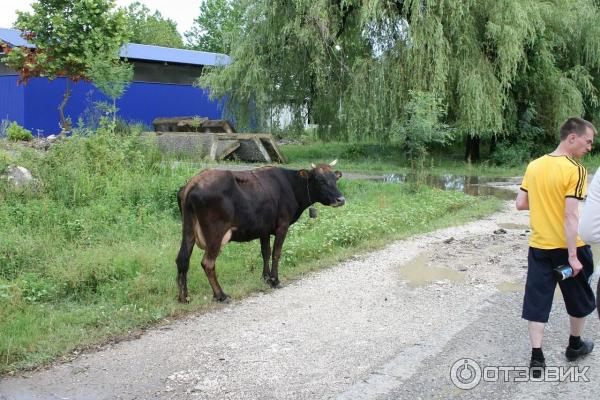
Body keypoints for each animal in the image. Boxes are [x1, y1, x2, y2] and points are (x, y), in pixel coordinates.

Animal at [175, 161, 342, 302]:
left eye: (335, 179)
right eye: (320, 180)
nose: (341, 199)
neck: (291, 186)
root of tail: (193, 182)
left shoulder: (264, 229)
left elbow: (265, 252)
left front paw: (266, 278)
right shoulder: (282, 225)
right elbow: (276, 253)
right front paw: (275, 280)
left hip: (188, 229)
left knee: (182, 259)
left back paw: (184, 297)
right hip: (216, 233)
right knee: (207, 263)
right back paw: (221, 295)